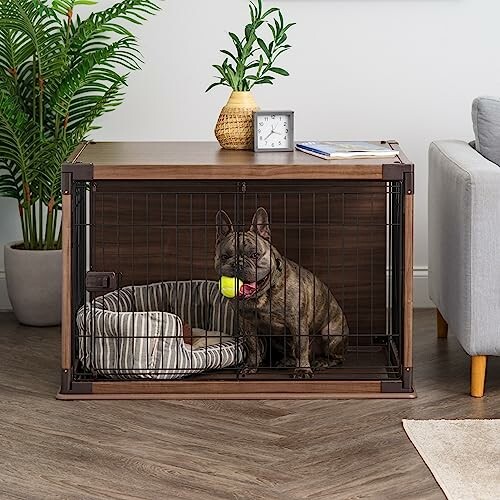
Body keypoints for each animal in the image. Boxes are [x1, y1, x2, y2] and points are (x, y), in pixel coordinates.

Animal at [214, 205, 348, 376]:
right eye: (224, 257)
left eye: (254, 255)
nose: (237, 264)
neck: (262, 295)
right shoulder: (247, 323)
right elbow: (252, 346)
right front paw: (251, 366)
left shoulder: (297, 322)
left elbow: (301, 347)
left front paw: (303, 369)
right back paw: (287, 361)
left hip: (330, 333)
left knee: (336, 357)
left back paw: (322, 361)